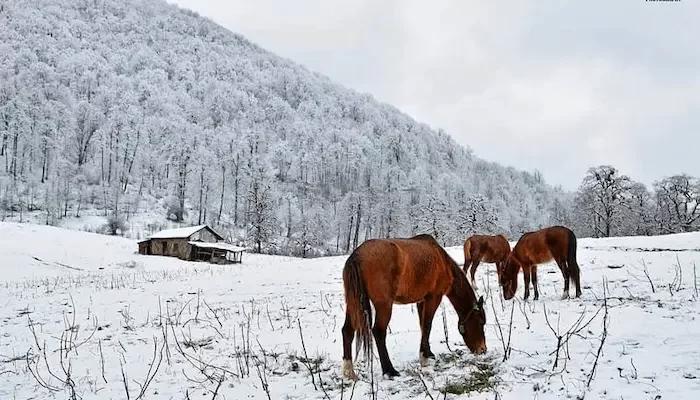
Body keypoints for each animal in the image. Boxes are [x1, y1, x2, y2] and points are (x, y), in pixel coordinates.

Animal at [340, 234, 486, 382]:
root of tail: (357, 255)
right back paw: (389, 370)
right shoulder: (434, 298)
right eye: (481, 322)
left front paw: (428, 352)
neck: (442, 261)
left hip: (353, 304)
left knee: (347, 331)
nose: (482, 349)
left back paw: (349, 372)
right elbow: (427, 325)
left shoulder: (421, 301)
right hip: (384, 306)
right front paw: (424, 358)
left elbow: (423, 326)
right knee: (379, 332)